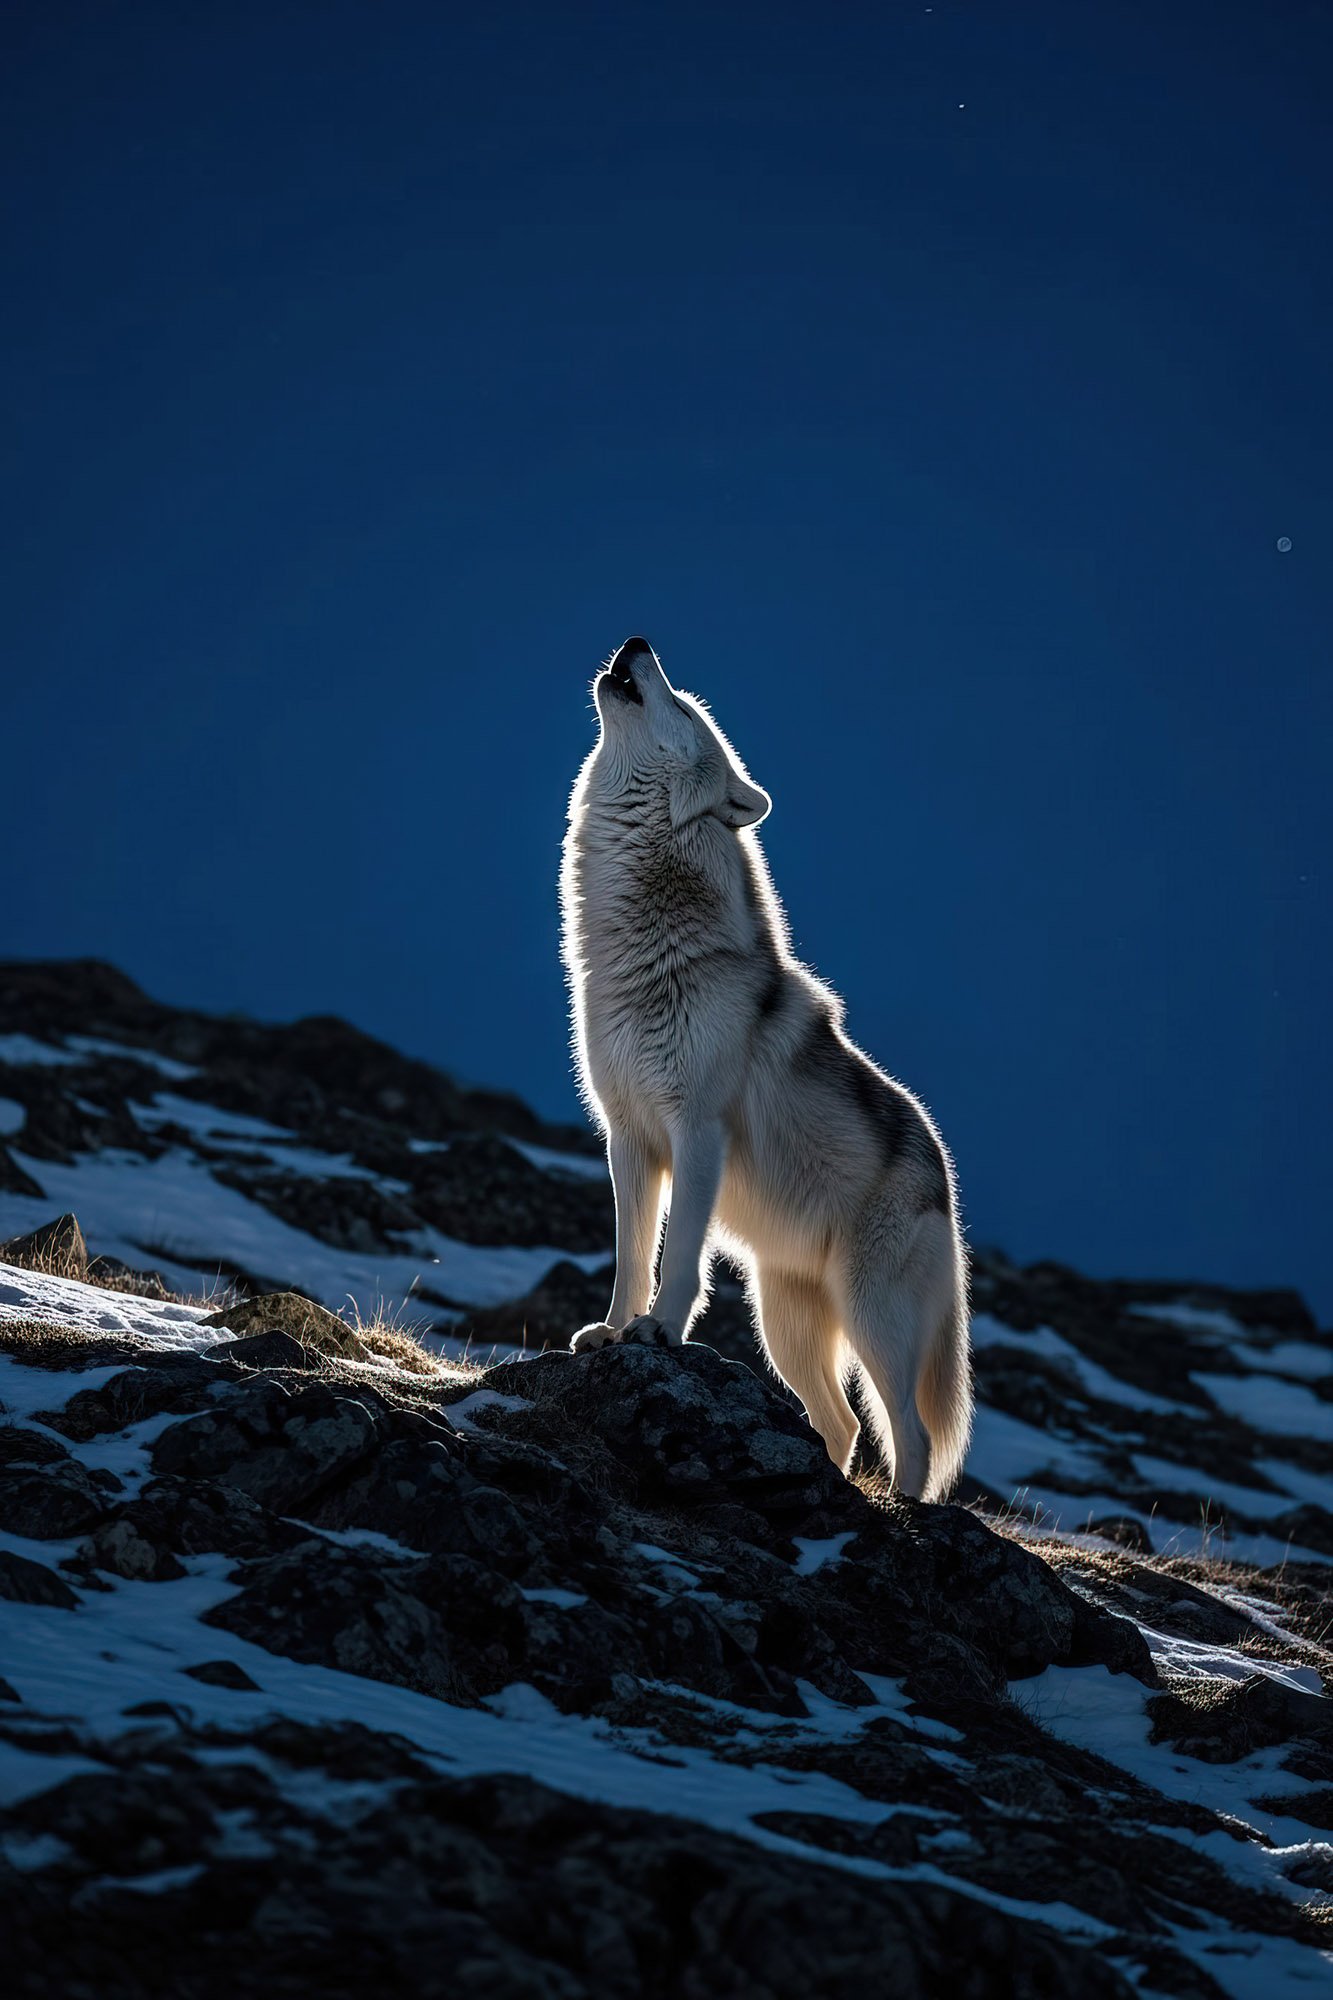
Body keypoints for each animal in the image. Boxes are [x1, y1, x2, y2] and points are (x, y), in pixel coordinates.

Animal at [560, 637, 972, 1500]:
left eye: (684, 706)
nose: (638, 641)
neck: (649, 954)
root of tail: (942, 1173)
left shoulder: (696, 1130)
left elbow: (680, 1257)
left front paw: (657, 1333)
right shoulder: (628, 1138)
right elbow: (630, 1256)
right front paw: (610, 1333)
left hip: (871, 1319)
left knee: (910, 1433)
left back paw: (905, 1513)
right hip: (784, 1323)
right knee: (841, 1425)